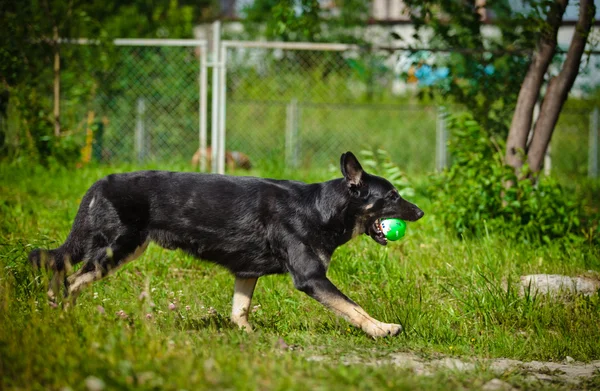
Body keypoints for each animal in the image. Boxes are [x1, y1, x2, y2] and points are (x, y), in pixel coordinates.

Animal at [31, 152, 422, 338]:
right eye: (392, 196)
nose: (419, 212)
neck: (320, 209)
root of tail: (100, 182)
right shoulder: (311, 278)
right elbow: (354, 308)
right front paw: (381, 329)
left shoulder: (246, 274)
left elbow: (240, 312)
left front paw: (248, 335)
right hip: (117, 249)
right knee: (70, 277)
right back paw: (63, 314)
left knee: (59, 265)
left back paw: (53, 308)